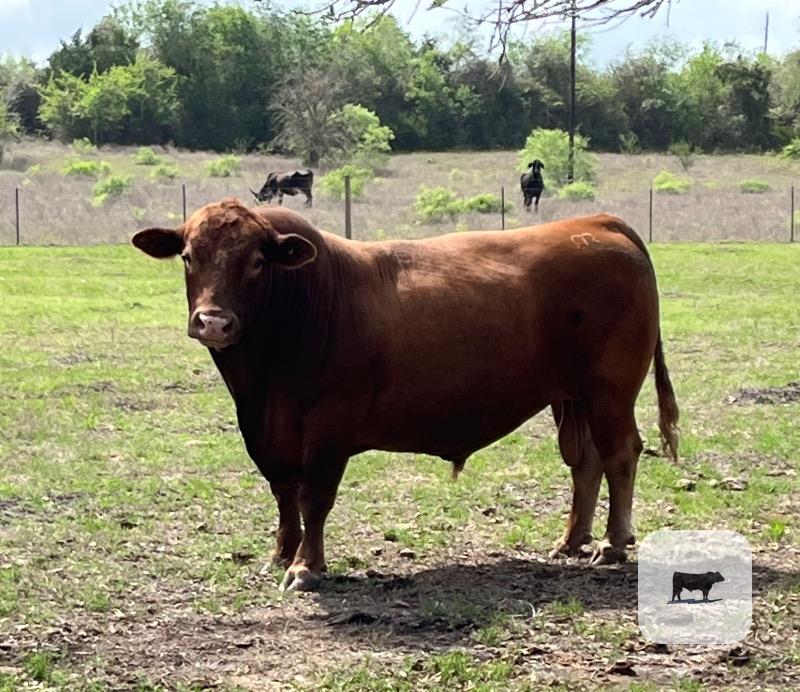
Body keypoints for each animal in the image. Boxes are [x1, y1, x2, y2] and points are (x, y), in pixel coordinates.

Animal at [131, 200, 679, 592]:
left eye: (258, 262)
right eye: (188, 257)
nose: (213, 322)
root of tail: (596, 223)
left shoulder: (329, 427)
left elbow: (314, 497)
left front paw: (307, 567)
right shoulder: (270, 434)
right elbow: (285, 495)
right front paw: (282, 554)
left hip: (610, 390)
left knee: (620, 454)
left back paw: (612, 543)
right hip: (572, 397)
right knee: (585, 463)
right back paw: (570, 541)